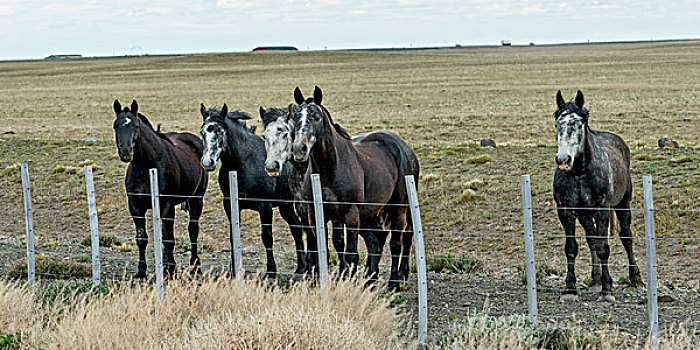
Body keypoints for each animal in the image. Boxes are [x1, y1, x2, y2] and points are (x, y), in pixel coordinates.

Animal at [112, 100, 208, 278]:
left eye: (135, 126)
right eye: (116, 126)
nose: (125, 152)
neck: (146, 166)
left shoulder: (167, 206)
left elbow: (168, 239)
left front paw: (170, 269)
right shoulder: (135, 207)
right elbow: (142, 238)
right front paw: (141, 271)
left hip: (197, 200)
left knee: (193, 231)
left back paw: (195, 265)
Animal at [197, 103, 306, 276]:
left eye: (221, 131)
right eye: (202, 131)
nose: (208, 162)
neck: (244, 163)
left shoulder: (265, 206)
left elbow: (267, 237)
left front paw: (271, 270)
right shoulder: (230, 205)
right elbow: (233, 235)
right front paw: (233, 269)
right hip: (286, 206)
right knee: (296, 228)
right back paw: (301, 267)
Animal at [288, 86, 418, 288]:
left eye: (316, 116)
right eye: (295, 116)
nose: (299, 149)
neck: (330, 169)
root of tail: (405, 149)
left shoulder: (351, 215)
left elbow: (351, 254)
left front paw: (345, 282)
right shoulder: (317, 216)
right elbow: (324, 249)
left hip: (398, 208)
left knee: (397, 241)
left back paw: (394, 282)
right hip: (372, 212)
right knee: (377, 240)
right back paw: (370, 279)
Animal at [552, 91, 644, 304]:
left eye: (578, 124)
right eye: (557, 124)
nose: (563, 160)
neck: (580, 172)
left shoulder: (602, 211)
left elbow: (604, 248)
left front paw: (607, 289)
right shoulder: (566, 211)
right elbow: (572, 247)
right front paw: (570, 289)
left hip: (622, 205)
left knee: (626, 237)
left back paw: (636, 279)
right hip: (585, 215)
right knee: (591, 239)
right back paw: (594, 280)